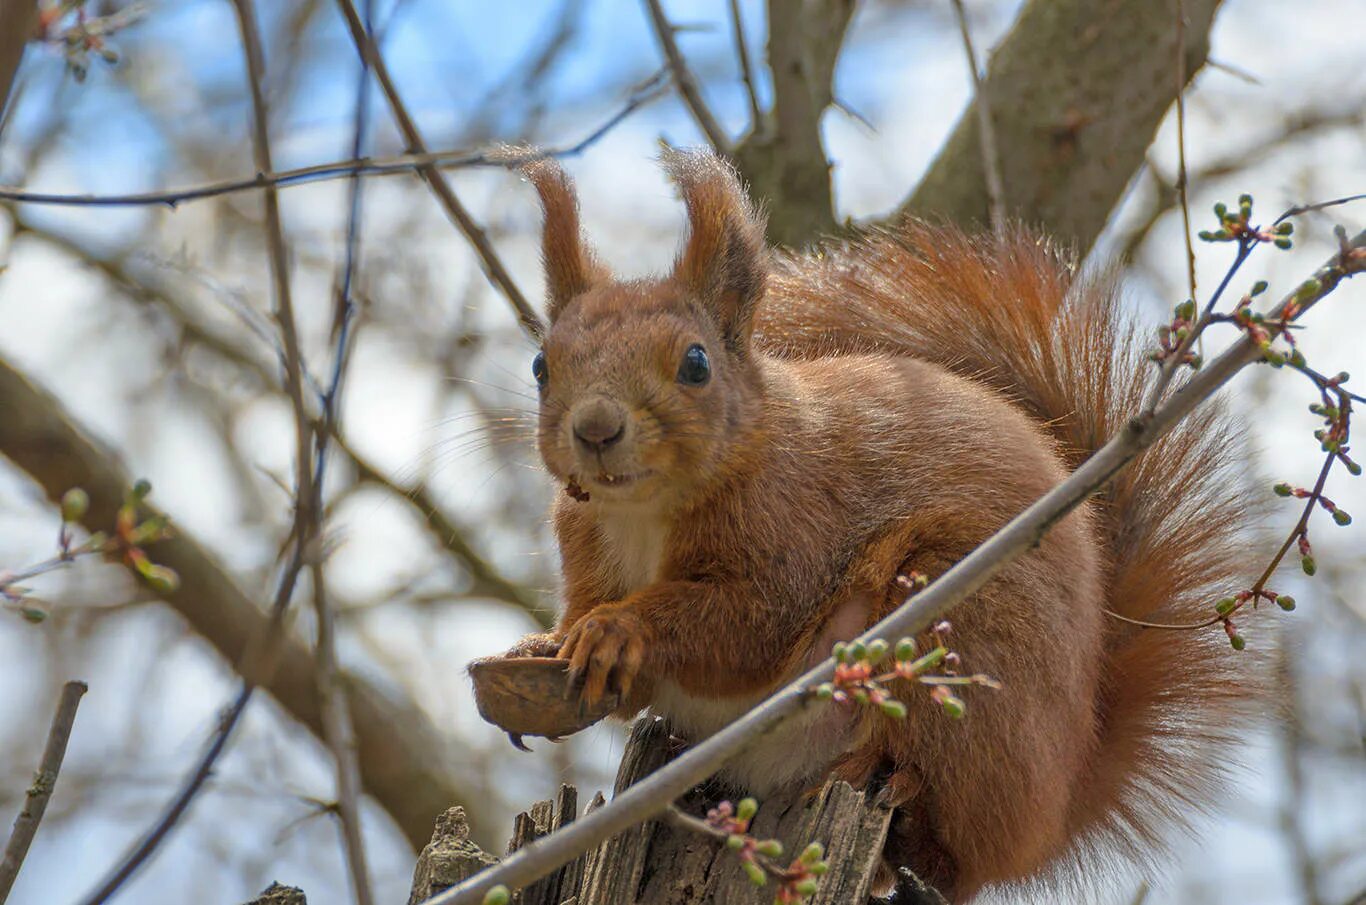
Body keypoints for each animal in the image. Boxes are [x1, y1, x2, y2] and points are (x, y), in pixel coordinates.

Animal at [508, 152, 1262, 900]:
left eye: (696, 363)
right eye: (542, 365)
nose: (596, 428)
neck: (642, 511)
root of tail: (1055, 809)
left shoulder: (795, 527)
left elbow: (746, 625)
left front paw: (618, 629)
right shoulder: (587, 544)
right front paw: (545, 647)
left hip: (953, 621)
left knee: (942, 835)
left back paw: (880, 783)